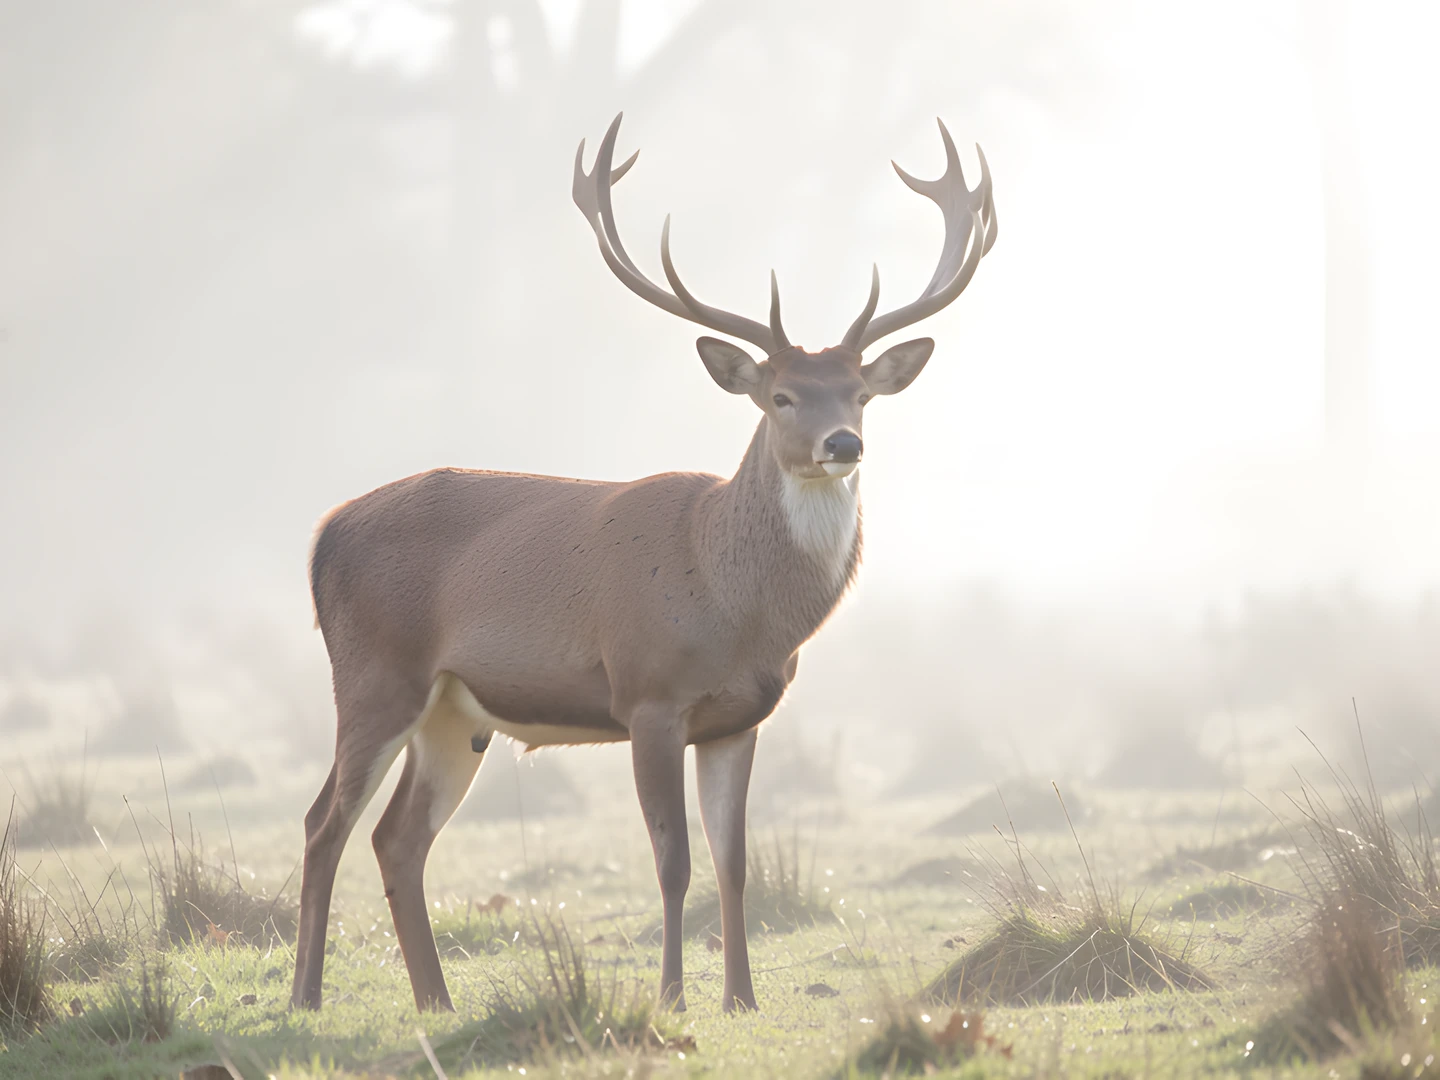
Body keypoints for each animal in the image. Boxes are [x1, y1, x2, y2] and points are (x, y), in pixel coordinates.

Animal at [290, 112, 996, 1016]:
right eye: (781, 397)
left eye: (861, 394)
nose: (844, 444)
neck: (734, 606)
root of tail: (322, 535)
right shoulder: (648, 694)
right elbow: (673, 860)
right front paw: (671, 998)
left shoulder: (740, 719)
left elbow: (734, 863)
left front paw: (741, 999)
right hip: (375, 673)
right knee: (324, 823)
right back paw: (307, 997)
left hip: (454, 713)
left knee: (396, 837)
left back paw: (437, 1002)